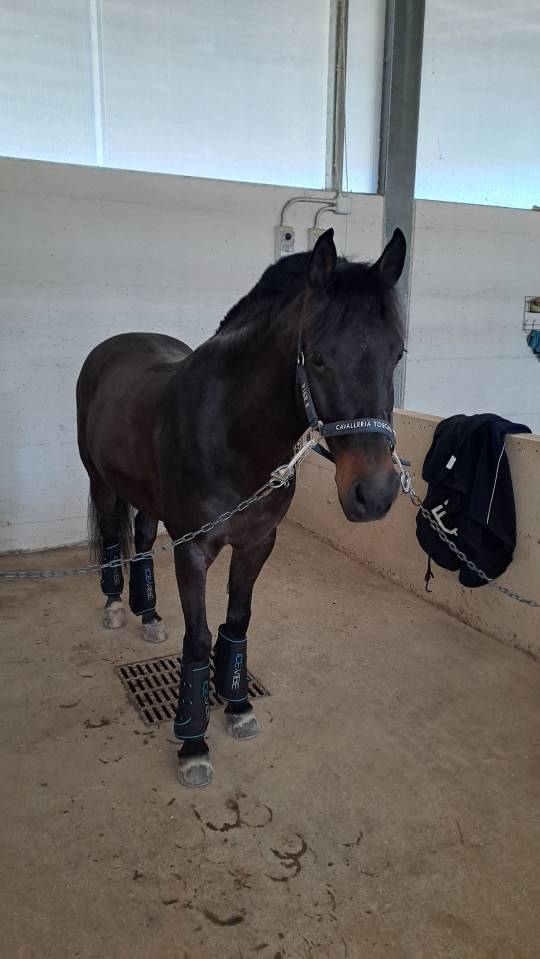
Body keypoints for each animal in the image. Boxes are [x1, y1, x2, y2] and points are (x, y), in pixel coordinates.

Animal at [76, 227, 406, 787]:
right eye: (318, 357)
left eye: (397, 353)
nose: (376, 493)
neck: (232, 432)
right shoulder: (192, 552)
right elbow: (198, 640)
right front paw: (193, 745)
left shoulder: (256, 544)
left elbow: (237, 624)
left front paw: (237, 707)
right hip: (100, 481)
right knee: (113, 538)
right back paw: (117, 608)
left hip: (147, 499)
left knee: (140, 540)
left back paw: (149, 616)